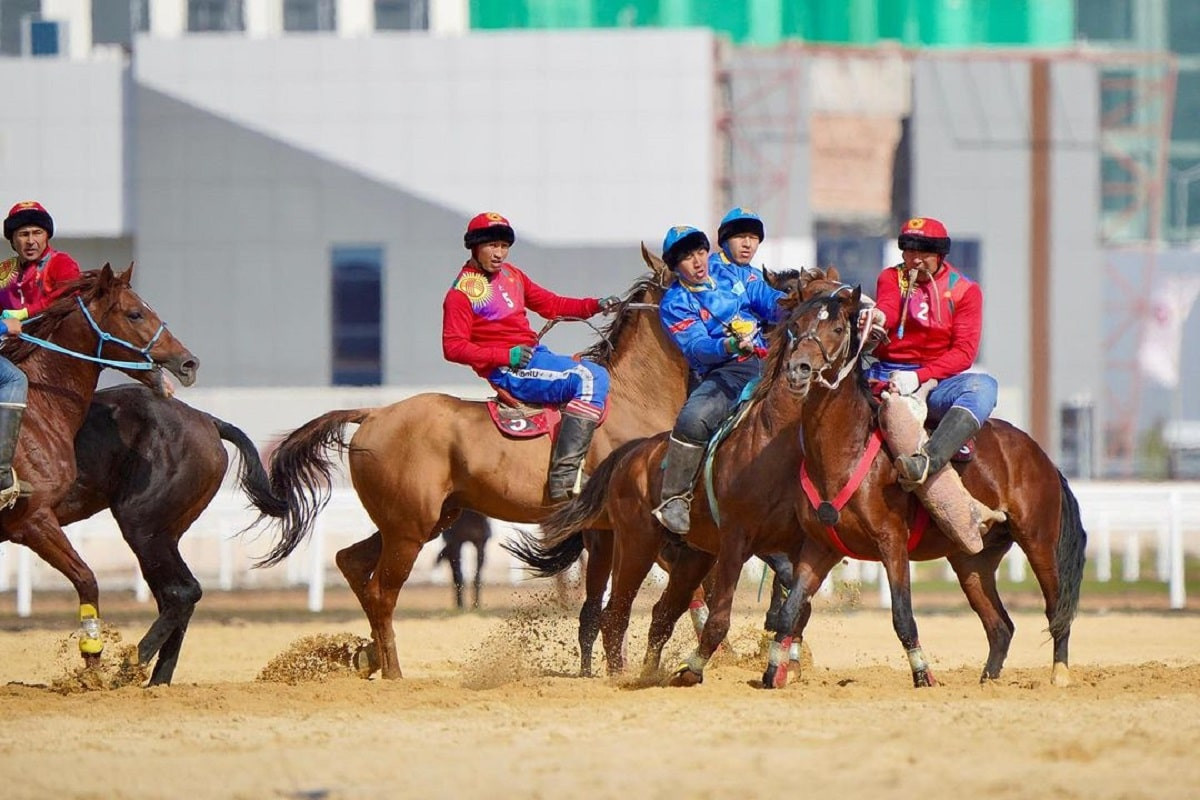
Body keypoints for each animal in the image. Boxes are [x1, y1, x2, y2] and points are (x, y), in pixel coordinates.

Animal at [0, 266, 199, 666]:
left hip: (149, 530)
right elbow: (86, 578)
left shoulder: (31, 521)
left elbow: (86, 579)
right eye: (135, 313)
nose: (187, 362)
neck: (41, 408)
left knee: (180, 593)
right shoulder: (33, 520)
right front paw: (92, 655)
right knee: (179, 593)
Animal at [56, 383, 290, 686]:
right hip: (165, 534)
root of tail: (208, 420)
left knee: (182, 592)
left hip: (143, 527)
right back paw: (157, 680)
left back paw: (130, 668)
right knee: (177, 595)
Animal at [266, 247, 691, 681]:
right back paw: (393, 673)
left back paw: (370, 656)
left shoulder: (601, 530)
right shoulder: (635, 526)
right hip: (408, 530)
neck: (631, 399)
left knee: (352, 563)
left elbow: (596, 610)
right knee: (381, 593)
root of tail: (373, 414)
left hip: (422, 521)